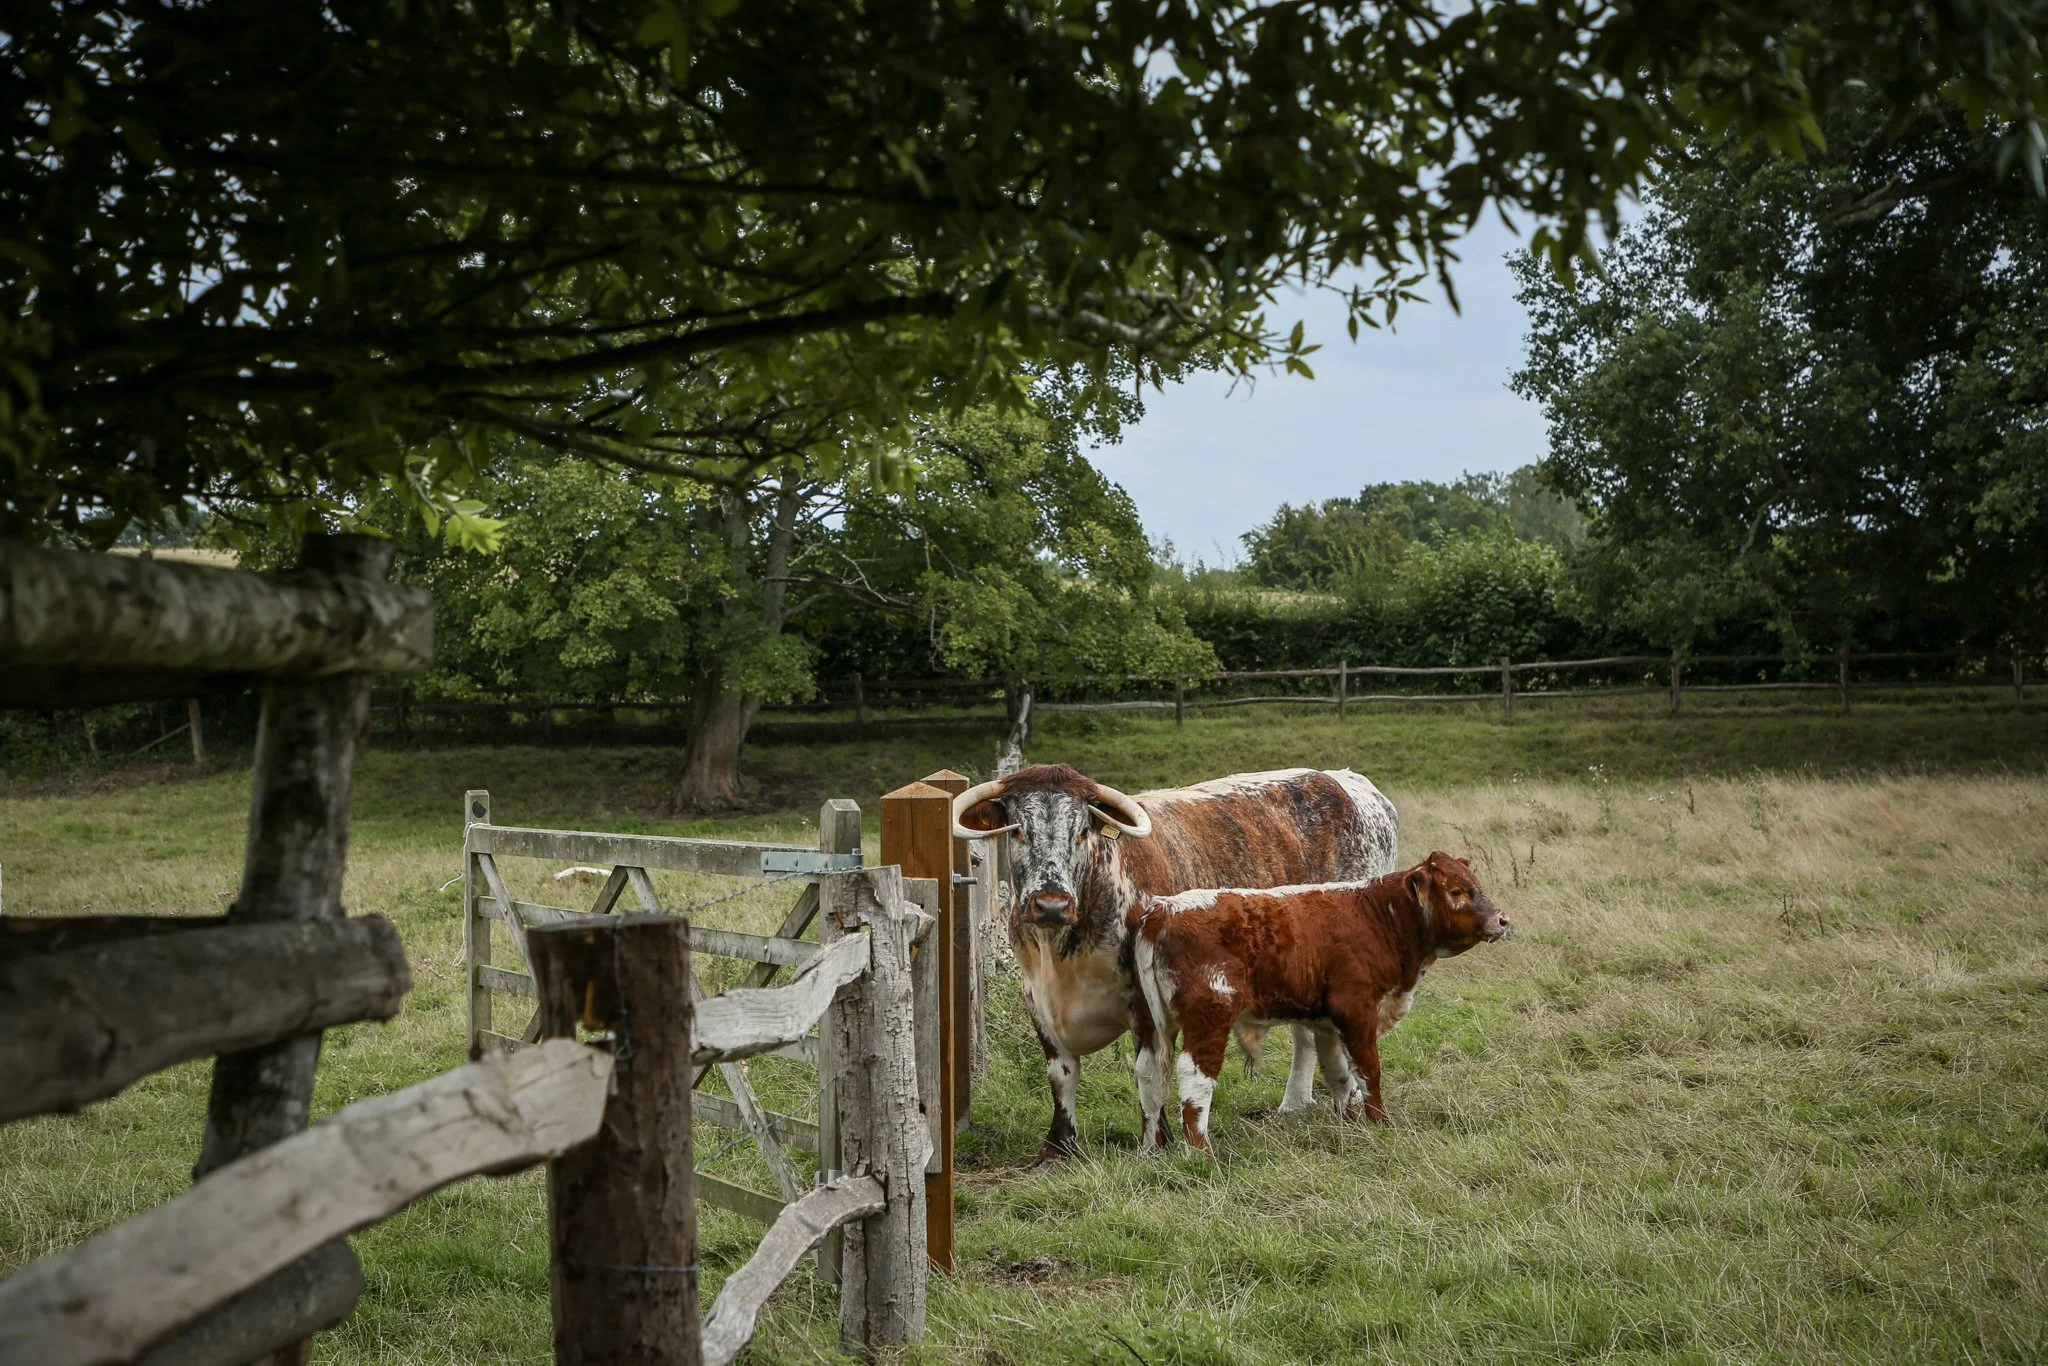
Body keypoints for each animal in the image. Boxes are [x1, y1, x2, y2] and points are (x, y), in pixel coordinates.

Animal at [950, 764, 1399, 1161]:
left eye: (1081, 831)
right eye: (1018, 830)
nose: (1050, 905)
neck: (1062, 958)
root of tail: (1346, 780)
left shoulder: (1143, 1000)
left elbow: (1148, 1072)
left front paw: (1155, 1143)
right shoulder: (1036, 998)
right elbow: (1061, 1075)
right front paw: (1057, 1149)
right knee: (1307, 1032)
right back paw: (1295, 1103)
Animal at [1129, 851, 1509, 1150]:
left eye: (1476, 884)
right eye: (1456, 891)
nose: (1502, 919)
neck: (1378, 917)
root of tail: (1165, 908)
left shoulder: (1327, 1024)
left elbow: (1339, 1075)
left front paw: (1350, 1127)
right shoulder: (1357, 1010)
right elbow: (1368, 1071)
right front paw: (1381, 1124)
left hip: (1149, 1022)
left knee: (1147, 1073)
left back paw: (1151, 1148)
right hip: (1209, 1017)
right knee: (1194, 1077)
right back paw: (1201, 1151)